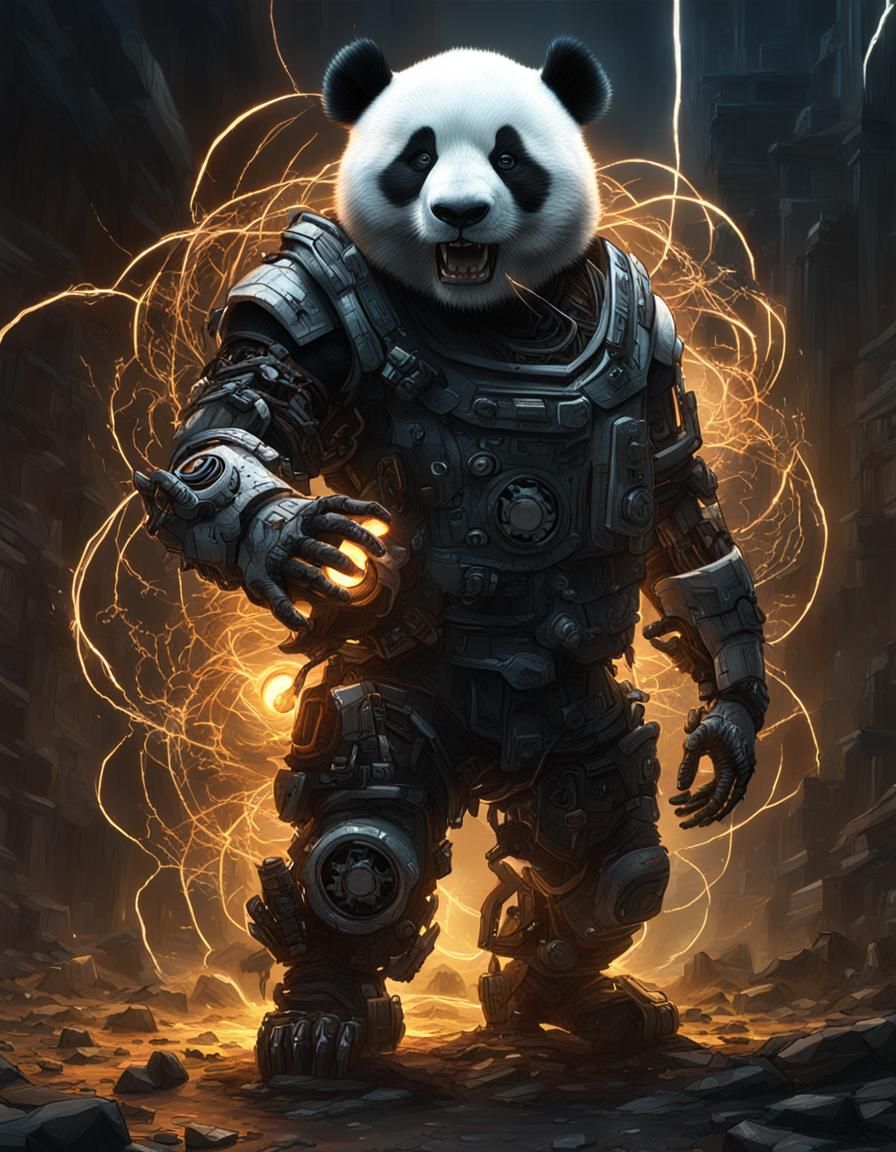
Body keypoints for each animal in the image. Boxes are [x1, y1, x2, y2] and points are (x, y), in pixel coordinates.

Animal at [139, 36, 767, 1079]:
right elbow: (230, 434)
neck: (501, 316)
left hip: (576, 726)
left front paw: (729, 718)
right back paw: (324, 1019)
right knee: (367, 829)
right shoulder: (300, 303)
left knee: (611, 857)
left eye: (512, 156)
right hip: (403, 706)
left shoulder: (653, 340)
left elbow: (682, 504)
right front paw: (294, 533)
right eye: (416, 157)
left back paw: (556, 1000)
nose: (462, 211)